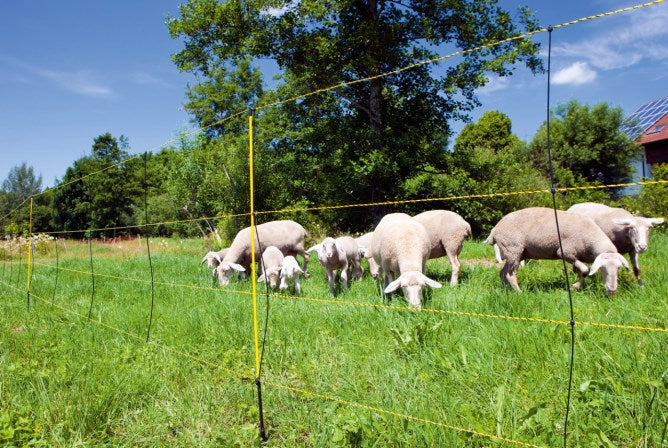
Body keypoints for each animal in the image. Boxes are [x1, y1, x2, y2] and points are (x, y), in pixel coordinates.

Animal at [486, 207, 629, 295]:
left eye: (619, 268)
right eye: (602, 269)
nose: (612, 292)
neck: (590, 237)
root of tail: (495, 229)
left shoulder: (576, 256)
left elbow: (581, 272)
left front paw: (577, 285)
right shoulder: (566, 252)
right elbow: (585, 270)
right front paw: (574, 286)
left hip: (515, 253)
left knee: (502, 273)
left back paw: (506, 290)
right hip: (513, 249)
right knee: (510, 274)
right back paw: (519, 292)